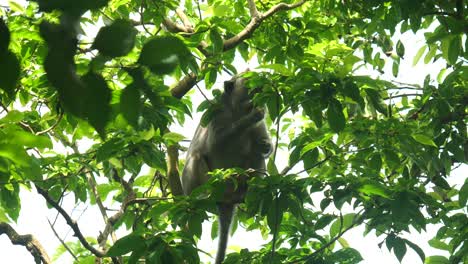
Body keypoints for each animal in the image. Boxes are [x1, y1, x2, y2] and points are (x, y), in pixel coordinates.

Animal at [181, 75, 272, 264]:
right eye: (250, 87)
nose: (259, 92)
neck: (237, 110)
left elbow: (262, 145)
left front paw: (266, 145)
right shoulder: (215, 111)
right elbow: (216, 142)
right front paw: (252, 117)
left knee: (255, 155)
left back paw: (252, 190)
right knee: (196, 156)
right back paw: (204, 194)